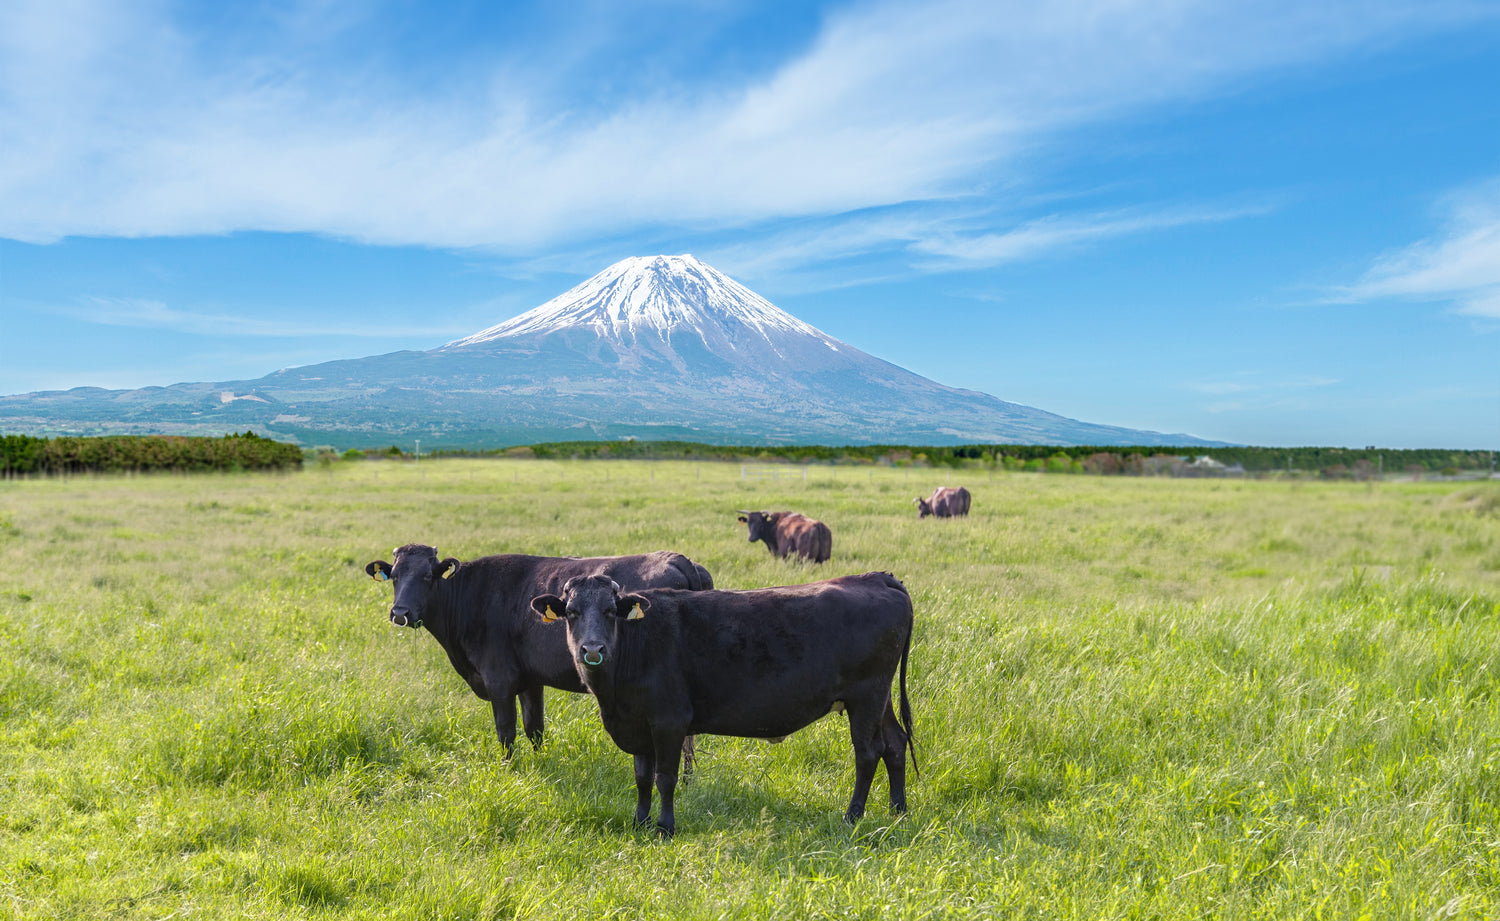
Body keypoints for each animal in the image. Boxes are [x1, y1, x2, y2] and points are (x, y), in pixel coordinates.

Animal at [364, 546, 714, 762]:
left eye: (427, 576)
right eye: (395, 576)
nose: (400, 612)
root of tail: (678, 558)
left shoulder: (499, 680)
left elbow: (506, 731)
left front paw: (506, 770)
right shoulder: (530, 680)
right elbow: (535, 728)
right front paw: (539, 764)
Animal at [534, 573, 918, 840]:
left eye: (611, 611)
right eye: (571, 613)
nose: (592, 649)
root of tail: (874, 577)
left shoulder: (669, 721)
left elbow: (665, 778)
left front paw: (664, 827)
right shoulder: (637, 723)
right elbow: (642, 778)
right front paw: (639, 823)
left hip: (866, 696)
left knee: (868, 752)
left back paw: (852, 815)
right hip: (879, 698)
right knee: (895, 745)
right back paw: (898, 810)